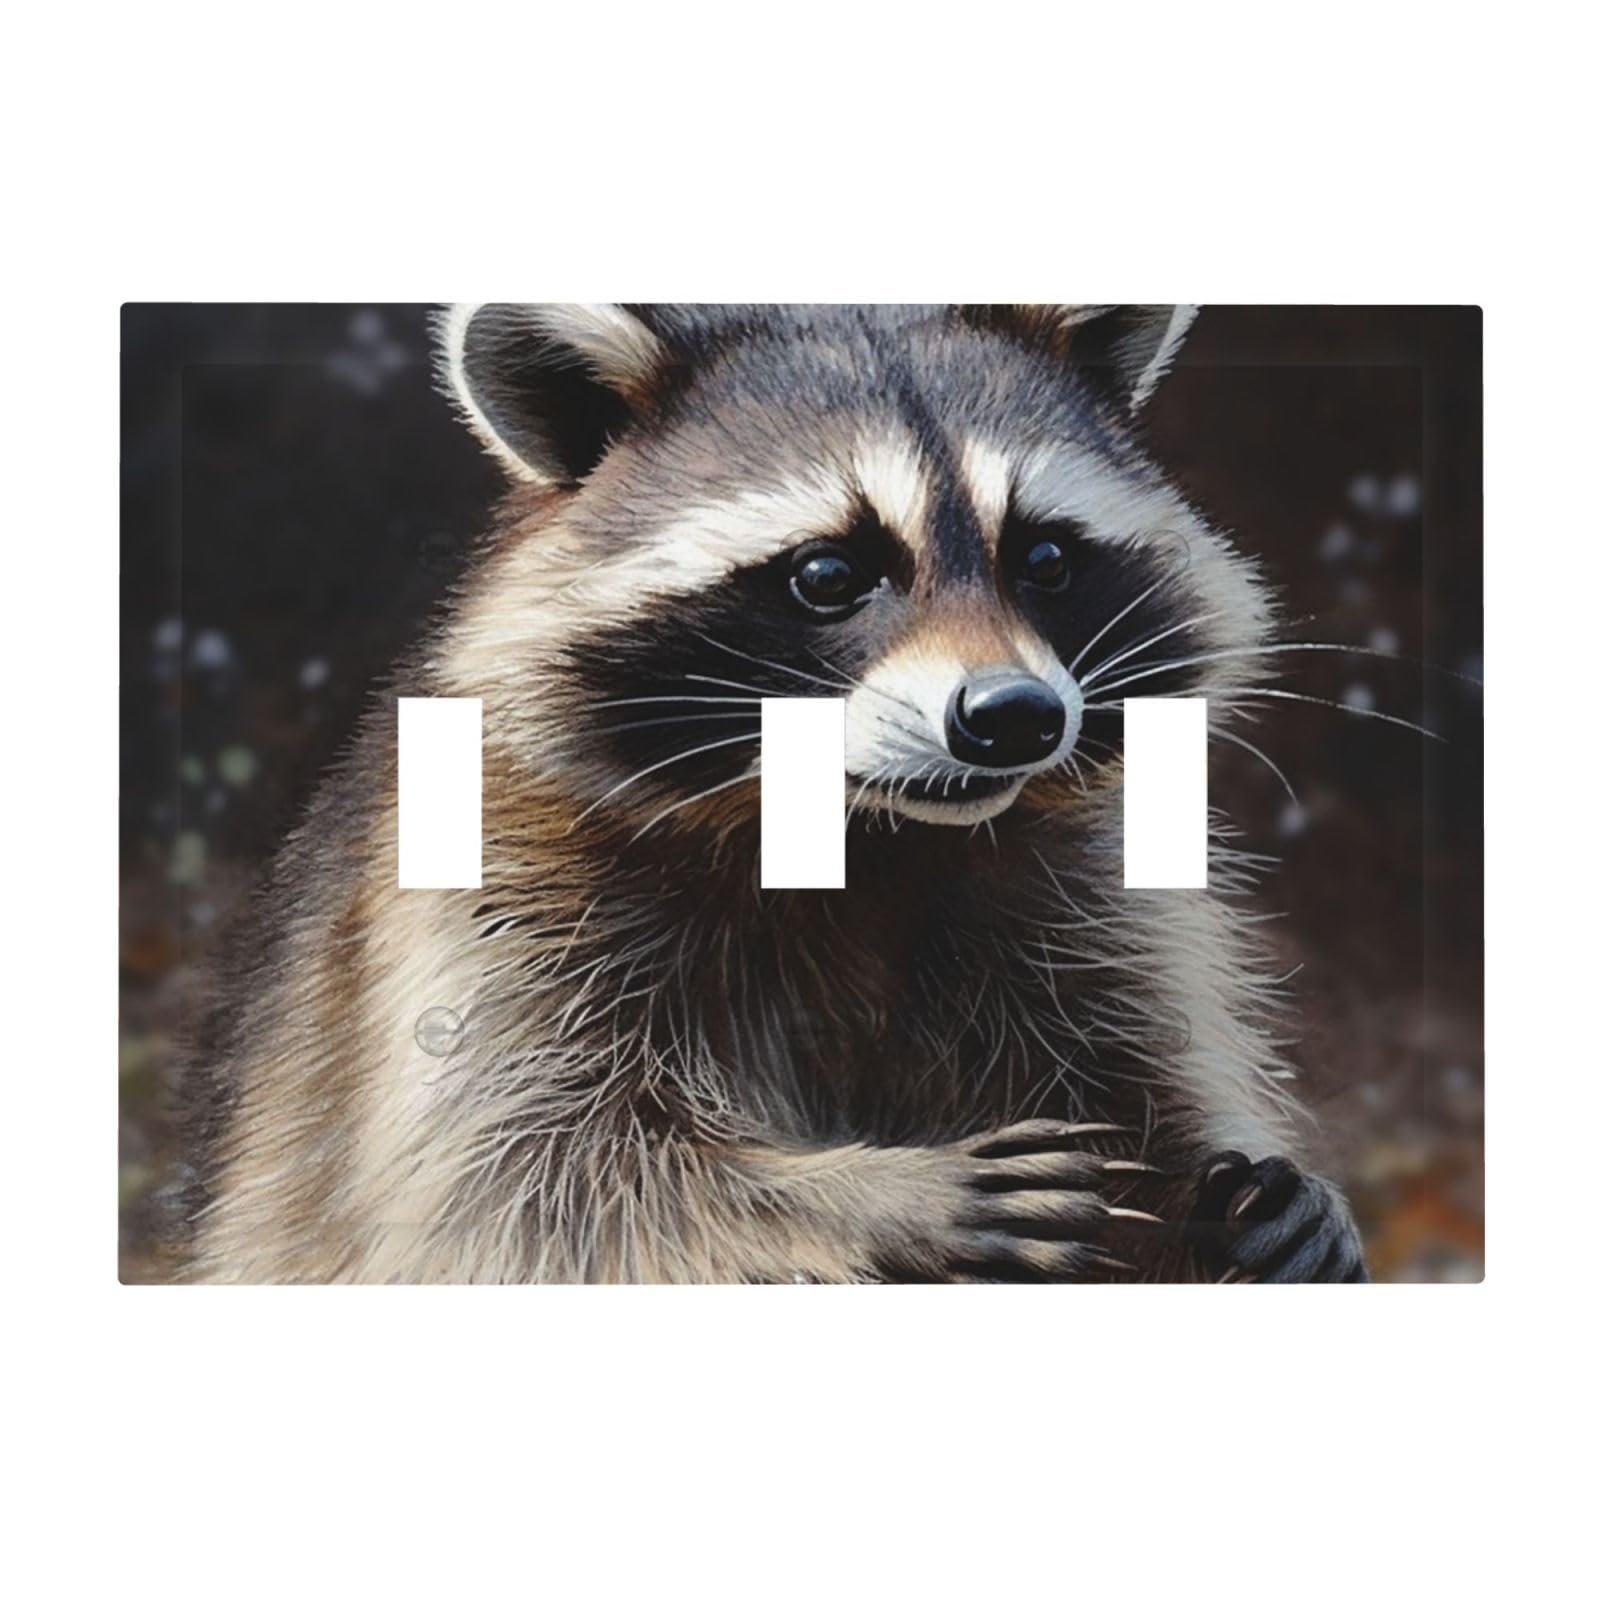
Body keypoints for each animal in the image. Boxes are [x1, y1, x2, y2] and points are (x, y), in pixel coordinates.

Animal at [180, 303, 1368, 1284]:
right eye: (829, 574)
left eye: (1042, 558)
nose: (1015, 714)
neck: (860, 829)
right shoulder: (489, 887)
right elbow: (530, 1188)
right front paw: (864, 1198)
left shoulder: (1087, 896)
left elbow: (1146, 1094)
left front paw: (1247, 1195)